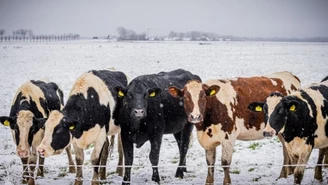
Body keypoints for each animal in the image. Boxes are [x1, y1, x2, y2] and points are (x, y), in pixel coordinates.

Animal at [169, 71, 300, 185]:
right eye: (185, 98)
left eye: (203, 97)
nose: (195, 116)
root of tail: (289, 74)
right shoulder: (208, 140)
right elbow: (210, 163)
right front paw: (209, 182)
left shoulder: (228, 137)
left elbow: (225, 163)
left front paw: (227, 182)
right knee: (285, 149)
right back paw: (284, 175)